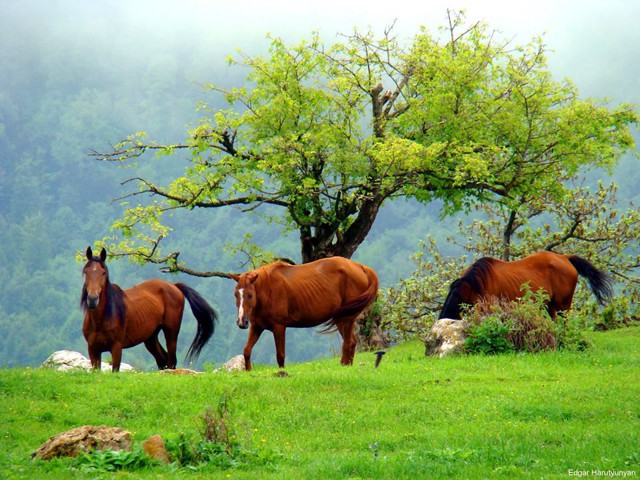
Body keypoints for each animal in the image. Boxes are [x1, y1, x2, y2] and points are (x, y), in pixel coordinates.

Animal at [81, 248, 218, 372]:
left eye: (103, 272)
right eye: (86, 272)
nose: (92, 299)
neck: (101, 321)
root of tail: (174, 286)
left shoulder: (116, 348)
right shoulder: (93, 350)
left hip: (171, 333)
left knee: (171, 361)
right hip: (151, 338)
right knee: (163, 360)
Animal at [231, 256, 378, 370]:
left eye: (250, 295)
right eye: (236, 295)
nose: (242, 322)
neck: (268, 290)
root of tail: (360, 267)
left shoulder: (279, 327)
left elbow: (280, 356)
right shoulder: (257, 327)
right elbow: (247, 351)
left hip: (346, 318)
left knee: (347, 343)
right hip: (341, 319)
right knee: (352, 342)